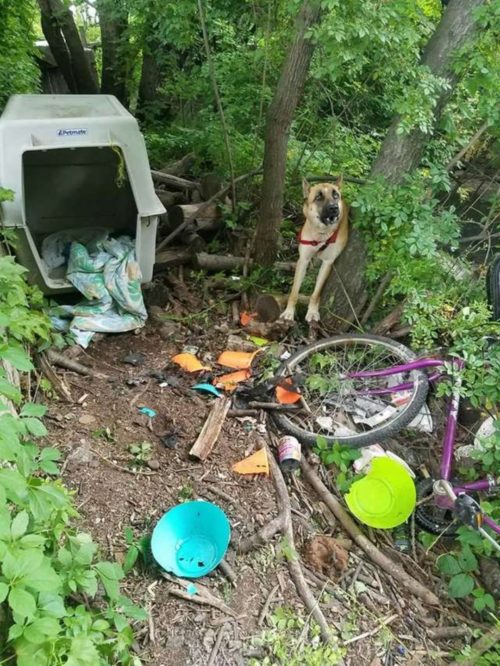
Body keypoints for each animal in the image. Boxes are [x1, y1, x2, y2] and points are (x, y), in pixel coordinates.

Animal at [282, 176, 348, 322]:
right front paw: (289, 311)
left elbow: (316, 292)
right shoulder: (303, 260)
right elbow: (294, 291)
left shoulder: (327, 263)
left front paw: (312, 311)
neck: (321, 233)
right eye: (318, 197)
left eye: (336, 195)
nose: (334, 208)